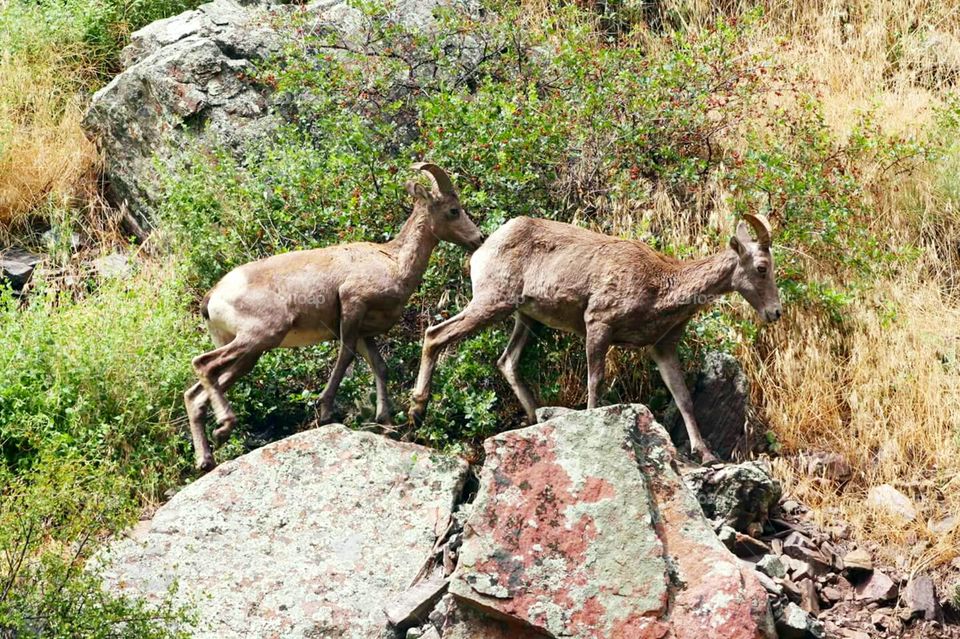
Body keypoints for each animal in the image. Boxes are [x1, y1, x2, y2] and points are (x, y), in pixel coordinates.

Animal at [184, 163, 482, 471]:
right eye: (453, 210)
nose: (479, 238)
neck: (394, 261)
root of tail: (212, 297)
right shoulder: (352, 305)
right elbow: (346, 357)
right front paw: (326, 411)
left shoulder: (364, 332)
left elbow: (380, 367)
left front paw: (386, 423)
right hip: (259, 336)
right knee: (203, 364)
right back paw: (224, 426)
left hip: (248, 353)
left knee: (195, 393)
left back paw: (206, 457)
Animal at [408, 214, 781, 463]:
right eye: (761, 268)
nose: (775, 312)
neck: (661, 286)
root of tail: (482, 249)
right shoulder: (598, 323)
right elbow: (595, 383)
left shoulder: (662, 347)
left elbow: (684, 398)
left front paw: (705, 455)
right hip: (491, 302)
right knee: (435, 335)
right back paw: (416, 408)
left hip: (525, 317)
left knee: (507, 361)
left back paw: (532, 419)